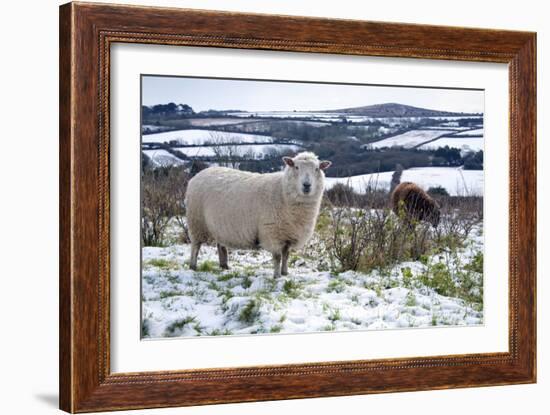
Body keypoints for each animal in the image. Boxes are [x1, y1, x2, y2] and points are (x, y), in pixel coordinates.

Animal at [185, 152, 332, 276]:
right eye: (296, 167)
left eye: (317, 168)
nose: (306, 185)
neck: (283, 192)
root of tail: (197, 176)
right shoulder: (272, 232)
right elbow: (278, 257)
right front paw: (277, 276)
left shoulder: (288, 234)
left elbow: (286, 255)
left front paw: (285, 273)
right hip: (197, 222)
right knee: (196, 246)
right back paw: (193, 266)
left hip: (219, 226)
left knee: (221, 245)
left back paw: (224, 266)